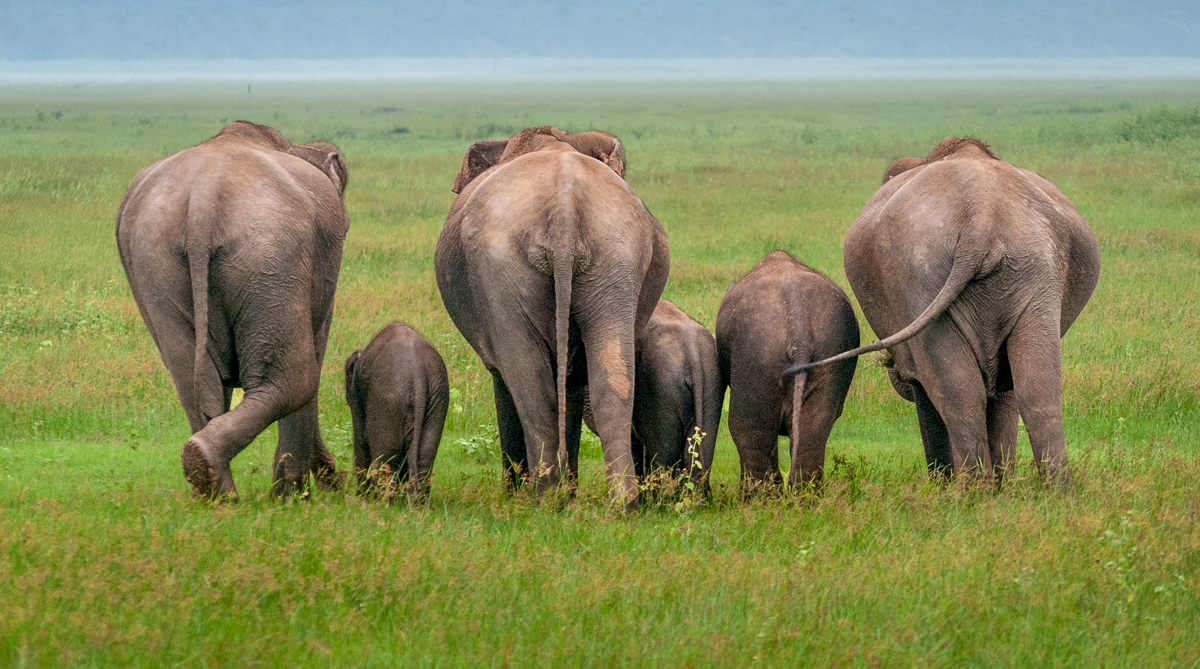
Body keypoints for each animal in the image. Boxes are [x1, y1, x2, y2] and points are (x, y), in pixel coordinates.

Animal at [115, 121, 349, 499]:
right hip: (271, 255)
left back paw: (213, 490)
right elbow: (315, 356)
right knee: (295, 377)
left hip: (155, 259)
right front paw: (296, 497)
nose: (339, 480)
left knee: (194, 382)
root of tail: (203, 203)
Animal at [344, 322, 449, 502]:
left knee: (385, 457)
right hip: (438, 398)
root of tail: (418, 376)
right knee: (424, 456)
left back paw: (380, 502)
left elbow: (361, 439)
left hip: (387, 400)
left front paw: (361, 499)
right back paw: (416, 503)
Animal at [435, 126, 670, 508]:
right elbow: (574, 385)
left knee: (529, 384)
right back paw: (621, 504)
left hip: (500, 268)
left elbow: (504, 380)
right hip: (616, 257)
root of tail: (564, 208)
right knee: (612, 381)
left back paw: (543, 499)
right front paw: (569, 491)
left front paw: (519, 491)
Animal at [786, 137, 1101, 488]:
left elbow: (929, 385)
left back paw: (972, 492)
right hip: (1027, 270)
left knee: (959, 394)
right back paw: (1052, 493)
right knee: (1034, 389)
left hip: (921, 274)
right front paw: (1002, 489)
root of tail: (982, 218)